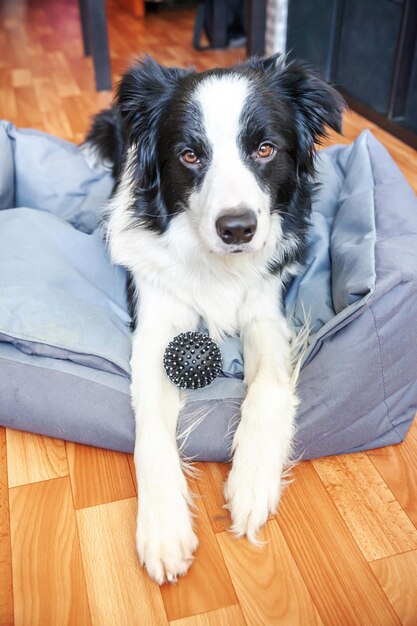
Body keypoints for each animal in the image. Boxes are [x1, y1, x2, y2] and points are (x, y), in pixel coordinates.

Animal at [85, 56, 344, 584]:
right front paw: (163, 528)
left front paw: (253, 480)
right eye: (189, 156)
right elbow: (151, 428)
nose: (238, 228)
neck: (216, 265)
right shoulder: (155, 324)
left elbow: (268, 385)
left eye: (265, 149)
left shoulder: (267, 310)